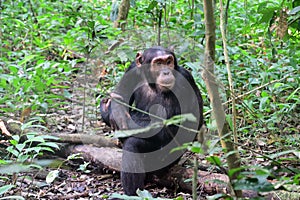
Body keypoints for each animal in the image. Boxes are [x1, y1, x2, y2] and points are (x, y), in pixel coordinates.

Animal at [101, 46, 204, 196]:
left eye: (168, 61)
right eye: (159, 63)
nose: (166, 72)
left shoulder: (184, 81)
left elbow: (166, 125)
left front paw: (110, 112)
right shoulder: (132, 68)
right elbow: (122, 94)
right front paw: (113, 110)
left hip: (165, 159)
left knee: (133, 145)